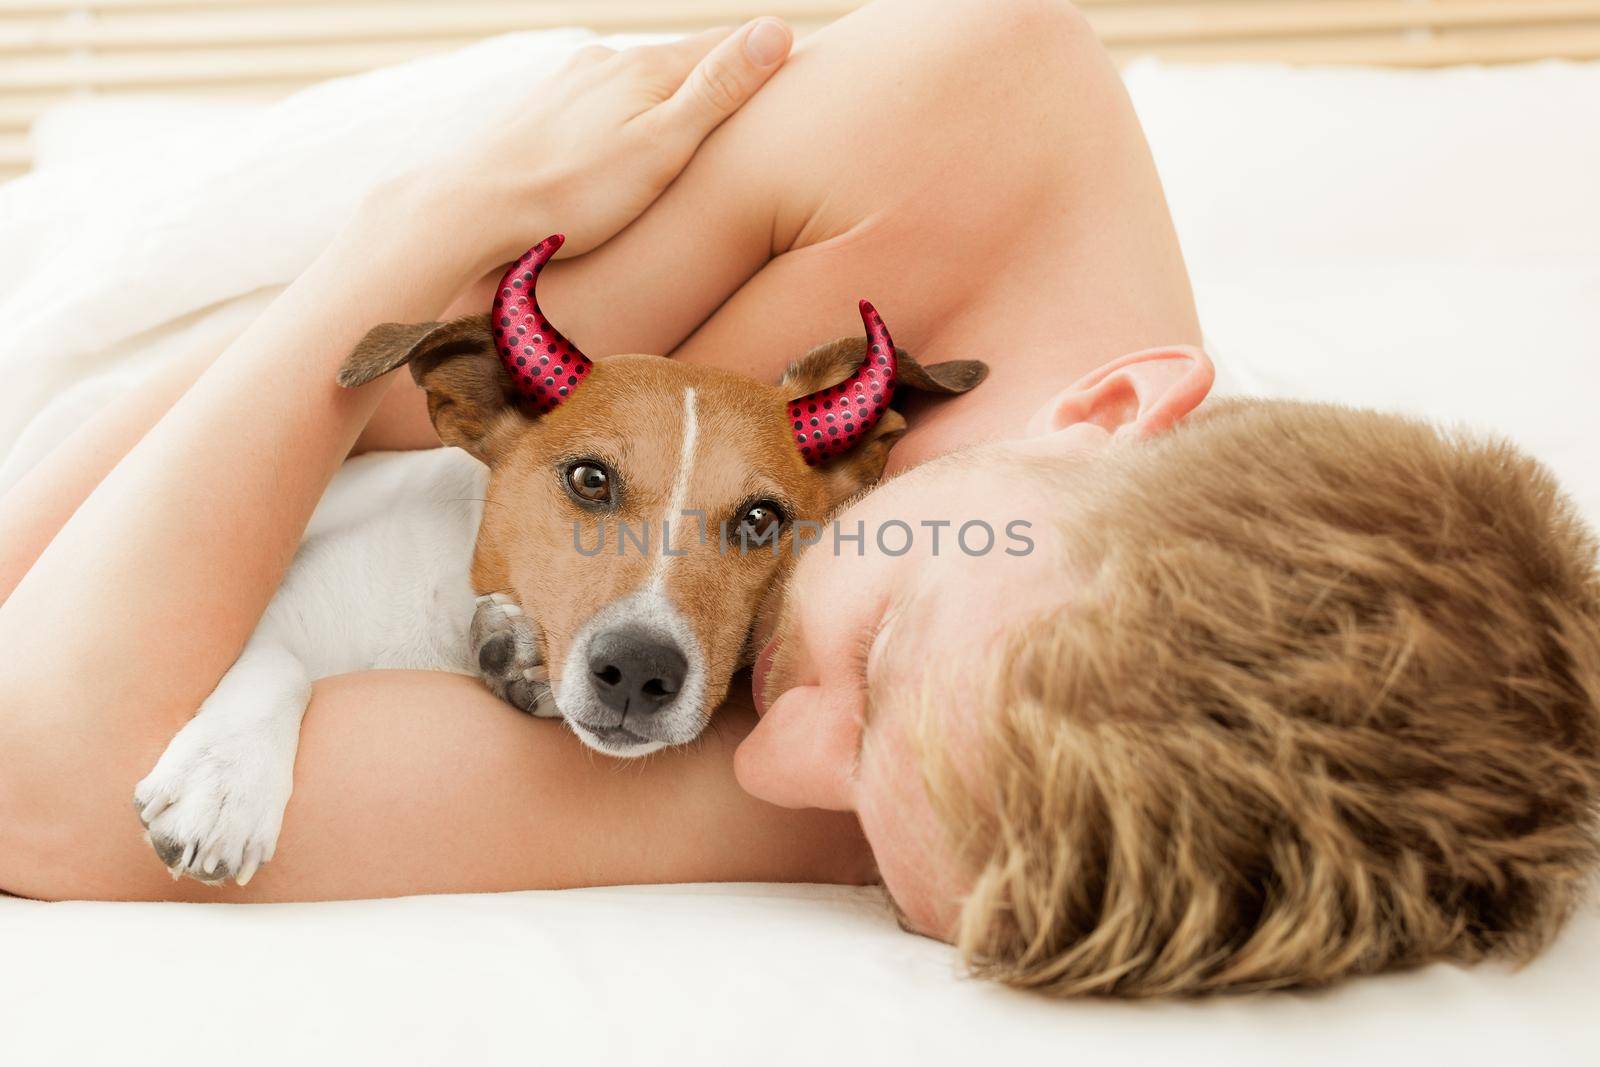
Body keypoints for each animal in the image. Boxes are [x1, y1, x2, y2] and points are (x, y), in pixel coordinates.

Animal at [134, 238, 985, 889]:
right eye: (589, 479)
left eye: (760, 518)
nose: (639, 671)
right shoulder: (286, 606)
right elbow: (276, 666)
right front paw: (223, 783)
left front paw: (519, 654)